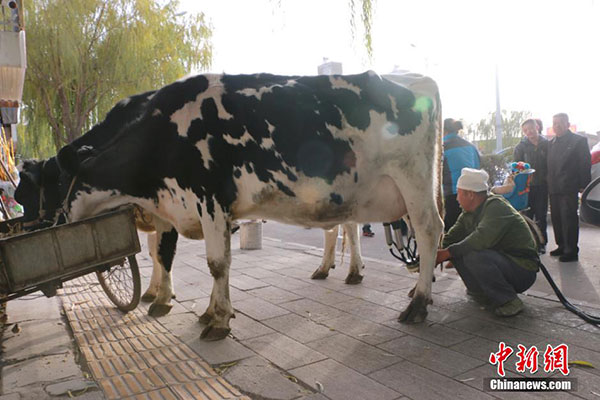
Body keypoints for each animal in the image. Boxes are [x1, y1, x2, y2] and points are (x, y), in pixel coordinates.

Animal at [21, 72, 442, 340]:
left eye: (50, 185)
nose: (38, 228)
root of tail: (416, 82)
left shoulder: (208, 201)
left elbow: (211, 262)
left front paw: (215, 320)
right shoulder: (189, 209)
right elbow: (188, 257)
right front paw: (206, 310)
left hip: (413, 178)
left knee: (428, 230)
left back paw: (418, 303)